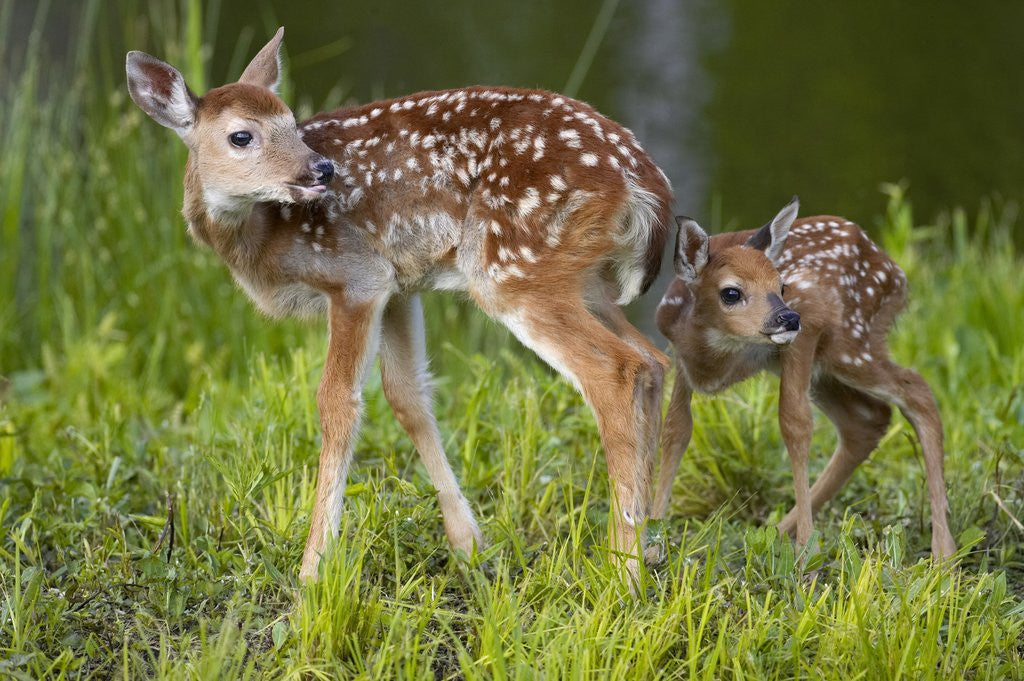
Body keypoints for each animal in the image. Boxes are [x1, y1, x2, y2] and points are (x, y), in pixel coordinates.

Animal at [125, 28, 672, 582]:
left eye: (291, 123)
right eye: (242, 136)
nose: (320, 169)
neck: (262, 236)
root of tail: (642, 177)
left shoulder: (355, 278)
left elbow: (337, 403)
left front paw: (313, 569)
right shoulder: (399, 287)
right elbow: (408, 397)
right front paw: (469, 545)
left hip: (514, 269)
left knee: (616, 370)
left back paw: (623, 572)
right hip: (584, 278)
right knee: (653, 360)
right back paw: (649, 539)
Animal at [652, 198, 957, 560]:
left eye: (782, 286)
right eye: (731, 292)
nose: (788, 317)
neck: (716, 364)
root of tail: (896, 272)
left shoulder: (808, 324)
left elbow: (794, 423)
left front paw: (805, 551)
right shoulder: (679, 355)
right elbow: (676, 429)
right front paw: (648, 545)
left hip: (850, 342)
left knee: (918, 391)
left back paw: (943, 552)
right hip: (829, 367)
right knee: (868, 419)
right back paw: (776, 532)